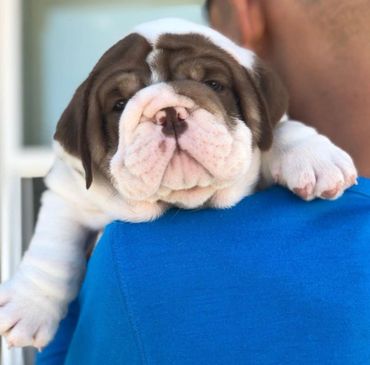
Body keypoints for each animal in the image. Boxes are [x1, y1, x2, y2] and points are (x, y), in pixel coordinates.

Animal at [0, 18, 356, 348]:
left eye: (214, 84)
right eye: (119, 105)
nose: (169, 113)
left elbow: (280, 127)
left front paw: (314, 156)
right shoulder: (68, 191)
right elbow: (53, 248)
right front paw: (28, 306)